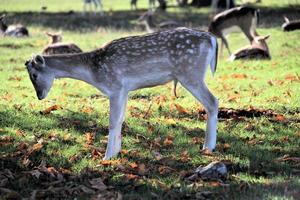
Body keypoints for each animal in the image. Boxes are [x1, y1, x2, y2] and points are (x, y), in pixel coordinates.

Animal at [24, 28, 219, 160]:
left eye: (34, 75)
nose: (39, 95)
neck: (93, 73)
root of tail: (212, 39)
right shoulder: (125, 90)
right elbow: (120, 120)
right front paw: (116, 153)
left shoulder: (115, 87)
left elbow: (112, 121)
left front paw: (106, 157)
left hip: (190, 73)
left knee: (213, 102)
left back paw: (208, 147)